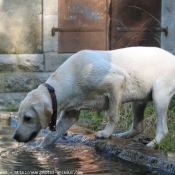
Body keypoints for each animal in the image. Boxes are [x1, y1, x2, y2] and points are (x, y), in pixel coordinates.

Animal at [13, 46, 175, 148]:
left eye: (28, 118)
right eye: (20, 117)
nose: (15, 137)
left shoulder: (116, 82)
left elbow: (113, 115)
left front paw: (106, 133)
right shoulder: (70, 114)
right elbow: (50, 136)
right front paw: (40, 148)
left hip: (159, 95)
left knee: (163, 130)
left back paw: (154, 144)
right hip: (139, 99)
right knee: (138, 126)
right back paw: (123, 135)